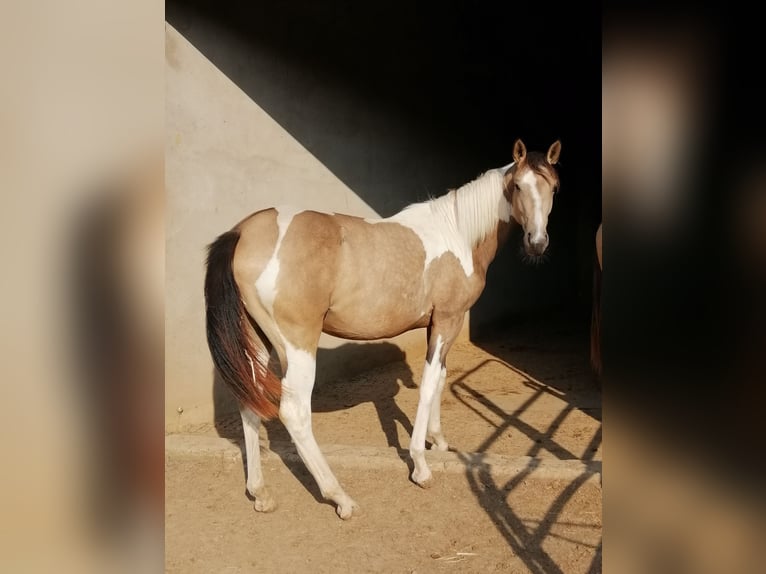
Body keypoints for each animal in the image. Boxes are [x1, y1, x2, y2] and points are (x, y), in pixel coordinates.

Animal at [204, 140, 564, 520]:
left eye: (554, 188)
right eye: (518, 186)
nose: (537, 243)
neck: (457, 233)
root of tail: (242, 232)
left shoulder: (438, 325)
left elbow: (440, 379)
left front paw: (439, 441)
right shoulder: (447, 320)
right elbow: (428, 386)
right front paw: (420, 465)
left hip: (256, 342)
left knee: (249, 401)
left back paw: (261, 493)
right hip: (297, 346)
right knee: (294, 412)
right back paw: (340, 498)